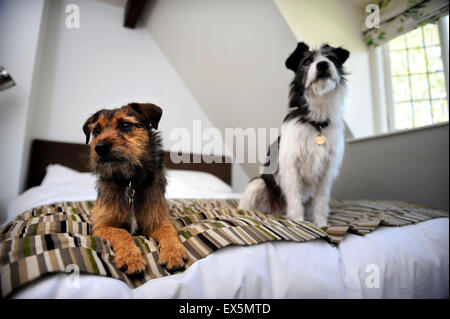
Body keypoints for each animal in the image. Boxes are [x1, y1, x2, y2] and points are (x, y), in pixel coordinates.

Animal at [83, 102, 187, 276]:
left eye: (125, 125)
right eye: (96, 130)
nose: (100, 147)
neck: (129, 183)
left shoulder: (156, 221)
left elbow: (169, 228)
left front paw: (173, 252)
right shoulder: (101, 226)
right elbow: (121, 232)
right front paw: (131, 258)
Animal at [241, 42, 350, 228]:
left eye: (330, 57)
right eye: (306, 62)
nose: (323, 65)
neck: (316, 121)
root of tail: (276, 210)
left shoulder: (325, 173)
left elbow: (321, 203)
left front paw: (321, 225)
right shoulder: (290, 167)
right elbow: (294, 199)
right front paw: (299, 222)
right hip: (257, 184)